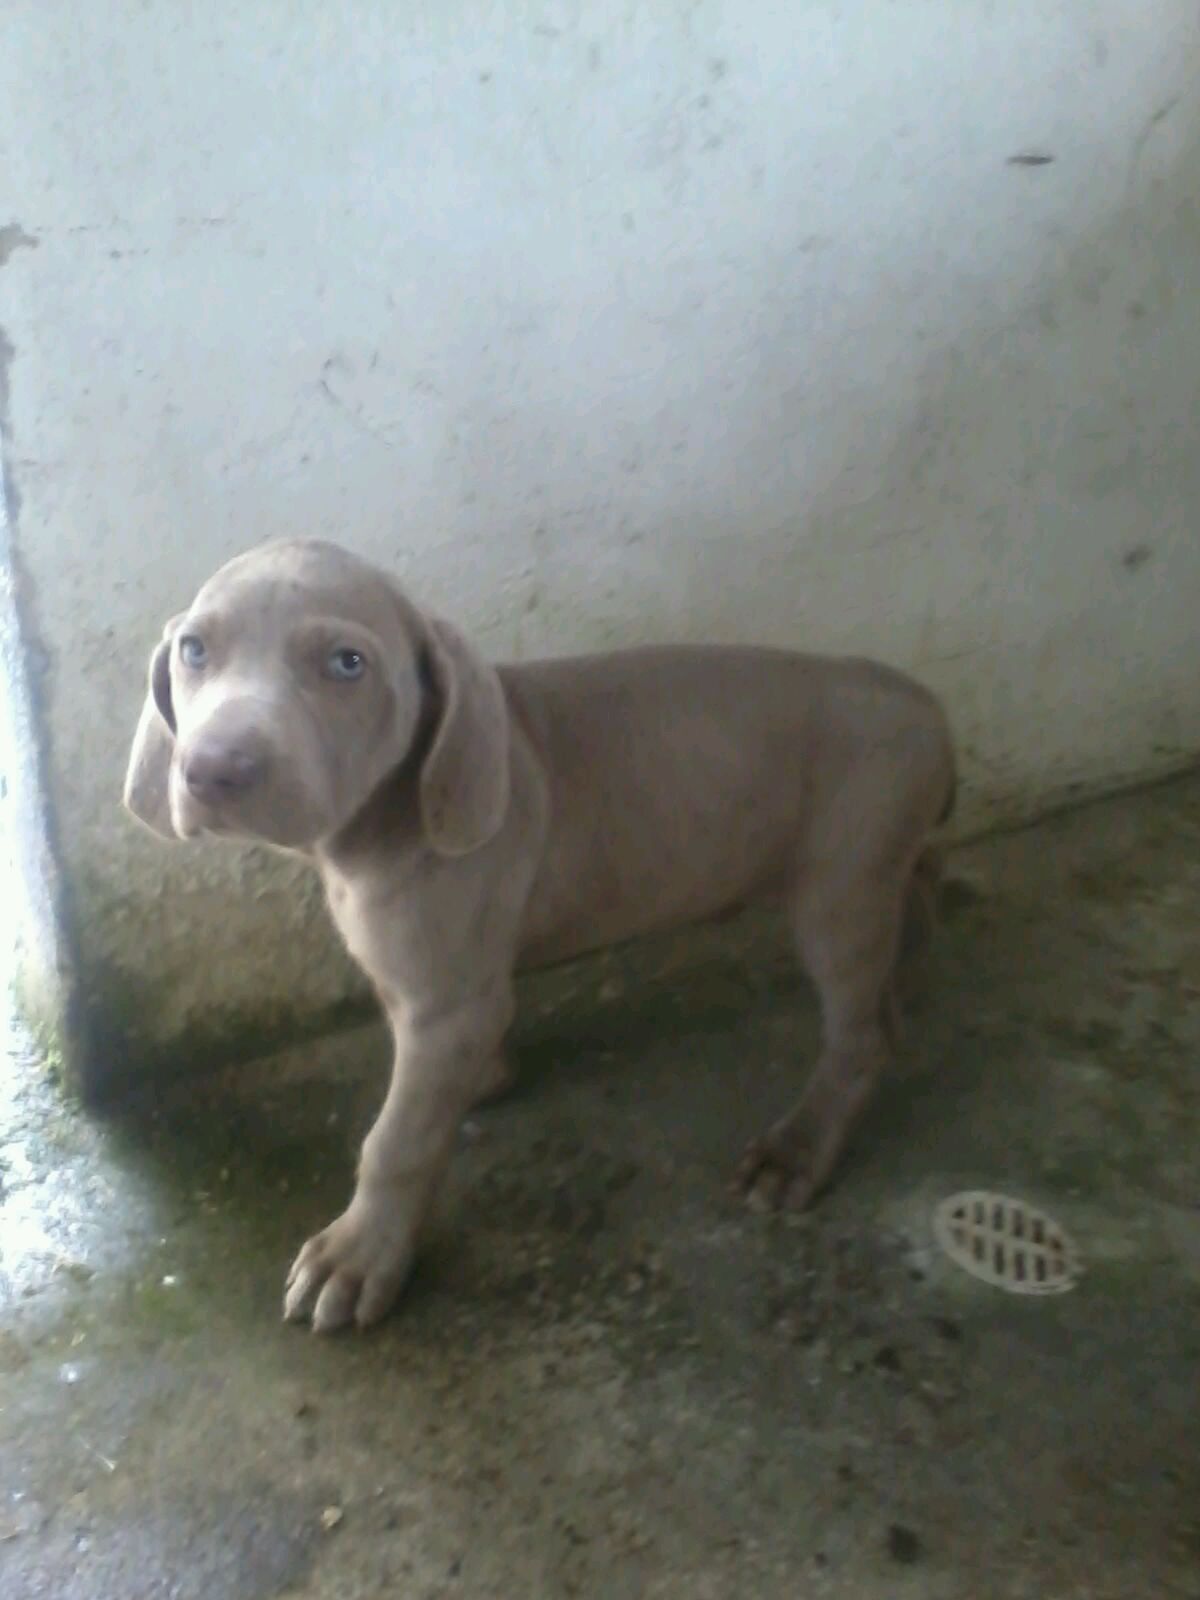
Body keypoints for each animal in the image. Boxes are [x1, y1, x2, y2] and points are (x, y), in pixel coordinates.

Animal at [124, 544, 960, 1331]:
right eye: (194, 650)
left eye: (346, 664)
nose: (213, 770)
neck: (380, 823)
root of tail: (926, 703)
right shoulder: (437, 987)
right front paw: (485, 1078)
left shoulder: (447, 1003)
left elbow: (397, 1140)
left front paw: (359, 1257)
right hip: (876, 870)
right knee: (914, 895)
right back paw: (911, 959)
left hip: (838, 888)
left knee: (863, 1035)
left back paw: (799, 1147)